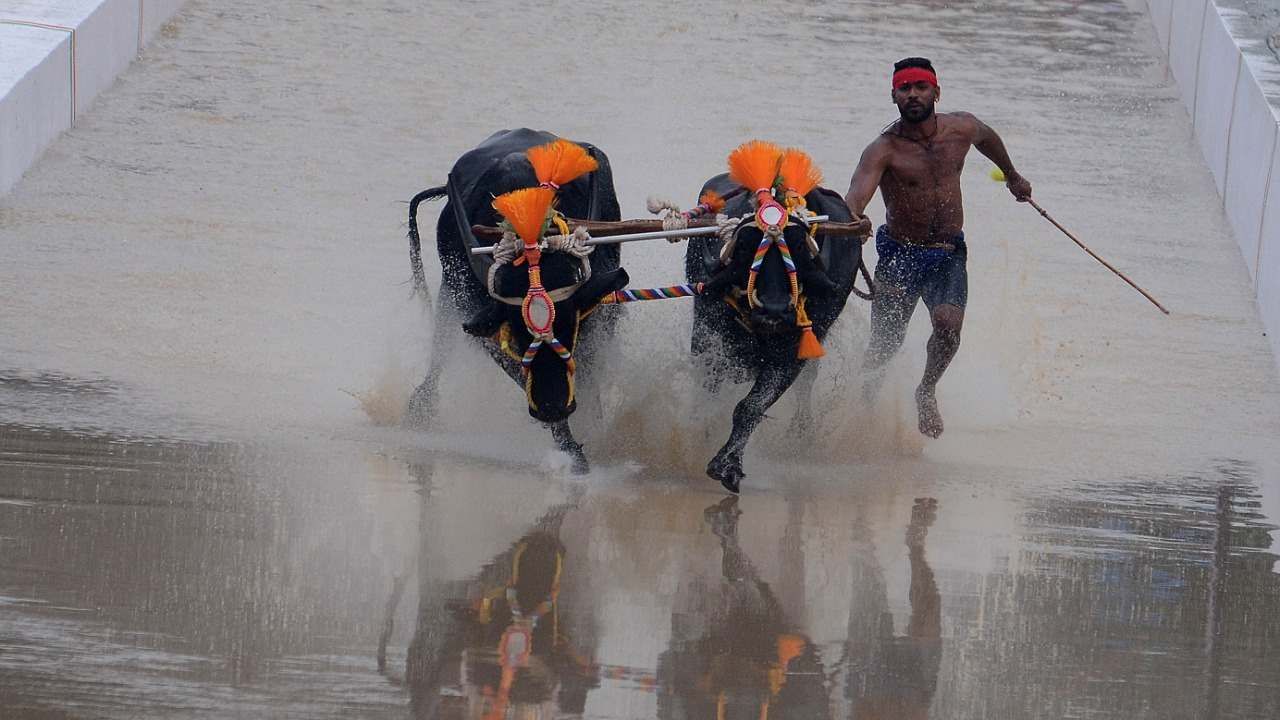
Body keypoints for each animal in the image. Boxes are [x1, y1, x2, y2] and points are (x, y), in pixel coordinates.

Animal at [407, 128, 627, 471]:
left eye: (568, 324)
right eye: (520, 334)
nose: (551, 407)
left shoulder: (597, 322)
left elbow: (590, 377)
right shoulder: (486, 328)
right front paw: (574, 454)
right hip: (450, 291)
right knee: (440, 344)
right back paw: (421, 406)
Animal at [680, 172, 870, 491]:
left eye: (800, 250)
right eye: (746, 249)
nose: (775, 310)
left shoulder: (790, 357)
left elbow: (750, 407)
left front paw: (727, 466)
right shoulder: (707, 339)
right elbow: (708, 394)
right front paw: (702, 436)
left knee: (807, 383)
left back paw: (801, 431)